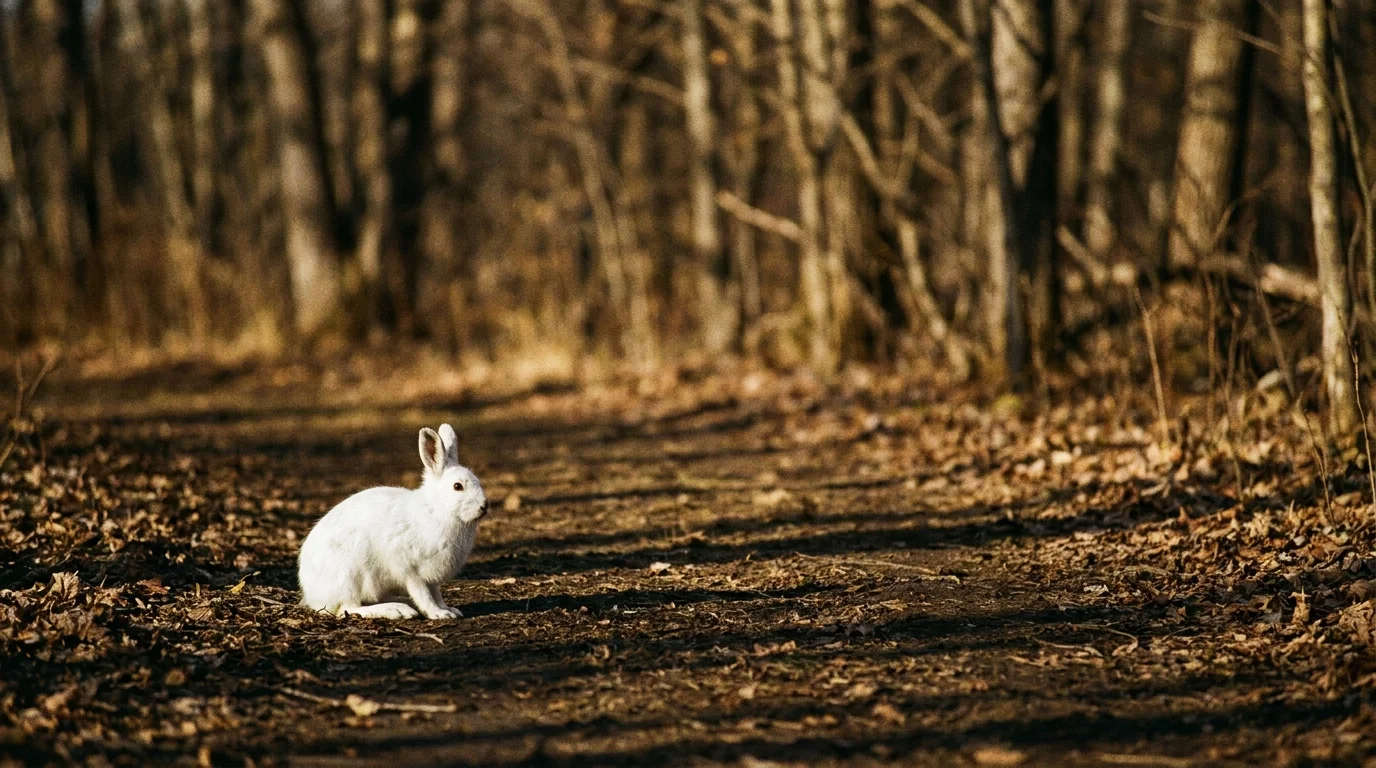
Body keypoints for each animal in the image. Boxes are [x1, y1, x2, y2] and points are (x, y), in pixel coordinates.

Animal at [298, 423, 490, 620]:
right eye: (457, 486)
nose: (484, 506)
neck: (437, 509)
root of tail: (312, 595)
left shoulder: (431, 578)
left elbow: (436, 594)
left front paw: (449, 610)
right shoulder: (411, 570)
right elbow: (424, 595)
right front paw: (438, 614)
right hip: (349, 577)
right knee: (349, 608)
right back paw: (397, 610)